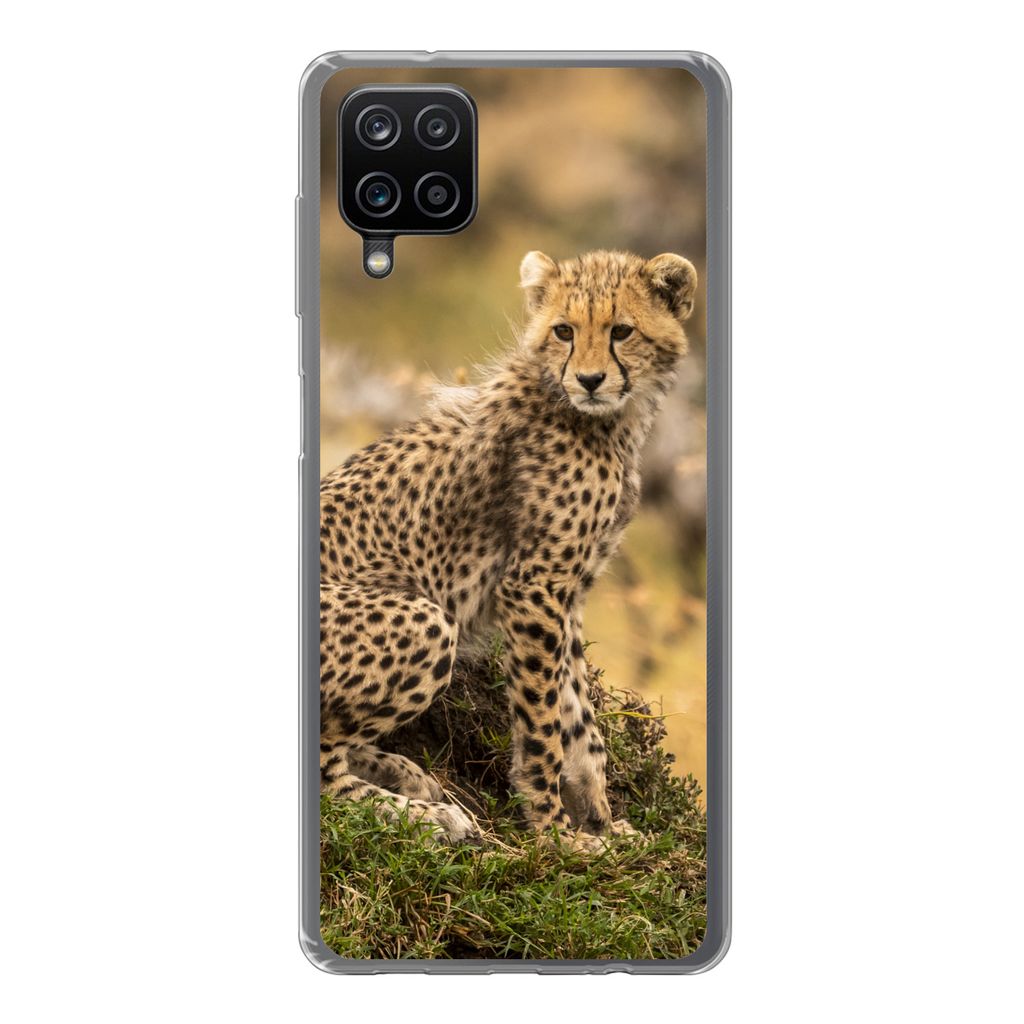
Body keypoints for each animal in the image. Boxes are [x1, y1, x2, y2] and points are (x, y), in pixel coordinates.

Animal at [319, 248, 698, 849]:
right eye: (564, 330)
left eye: (621, 331)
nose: (590, 380)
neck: (601, 419)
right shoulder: (533, 587)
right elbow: (544, 722)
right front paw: (556, 834)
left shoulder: (568, 593)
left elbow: (581, 720)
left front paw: (604, 822)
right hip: (426, 620)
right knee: (325, 771)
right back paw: (423, 815)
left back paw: (404, 775)